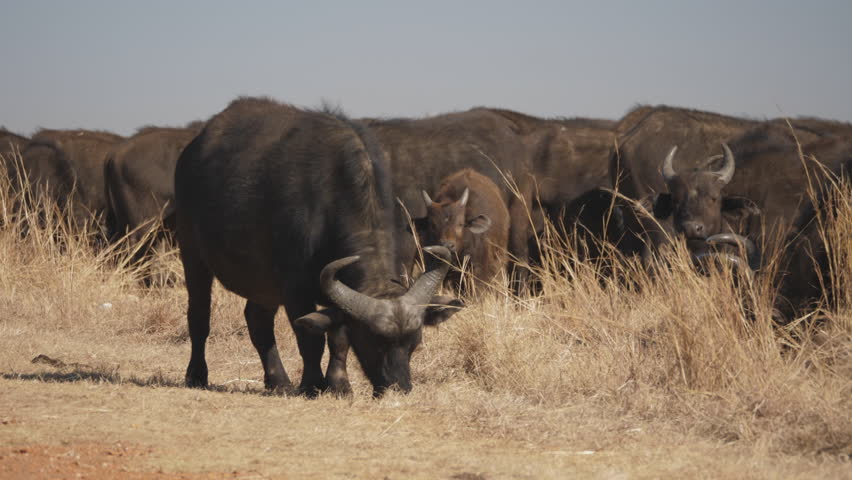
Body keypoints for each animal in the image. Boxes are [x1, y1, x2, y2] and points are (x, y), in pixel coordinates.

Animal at [174, 97, 462, 397]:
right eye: (372, 343)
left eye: (414, 344)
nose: (399, 387)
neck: (330, 203)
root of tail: (191, 151)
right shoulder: (294, 288)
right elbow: (310, 338)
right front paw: (312, 383)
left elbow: (339, 339)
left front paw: (339, 384)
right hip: (192, 254)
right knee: (199, 315)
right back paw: (196, 374)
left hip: (262, 283)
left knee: (257, 320)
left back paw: (278, 380)